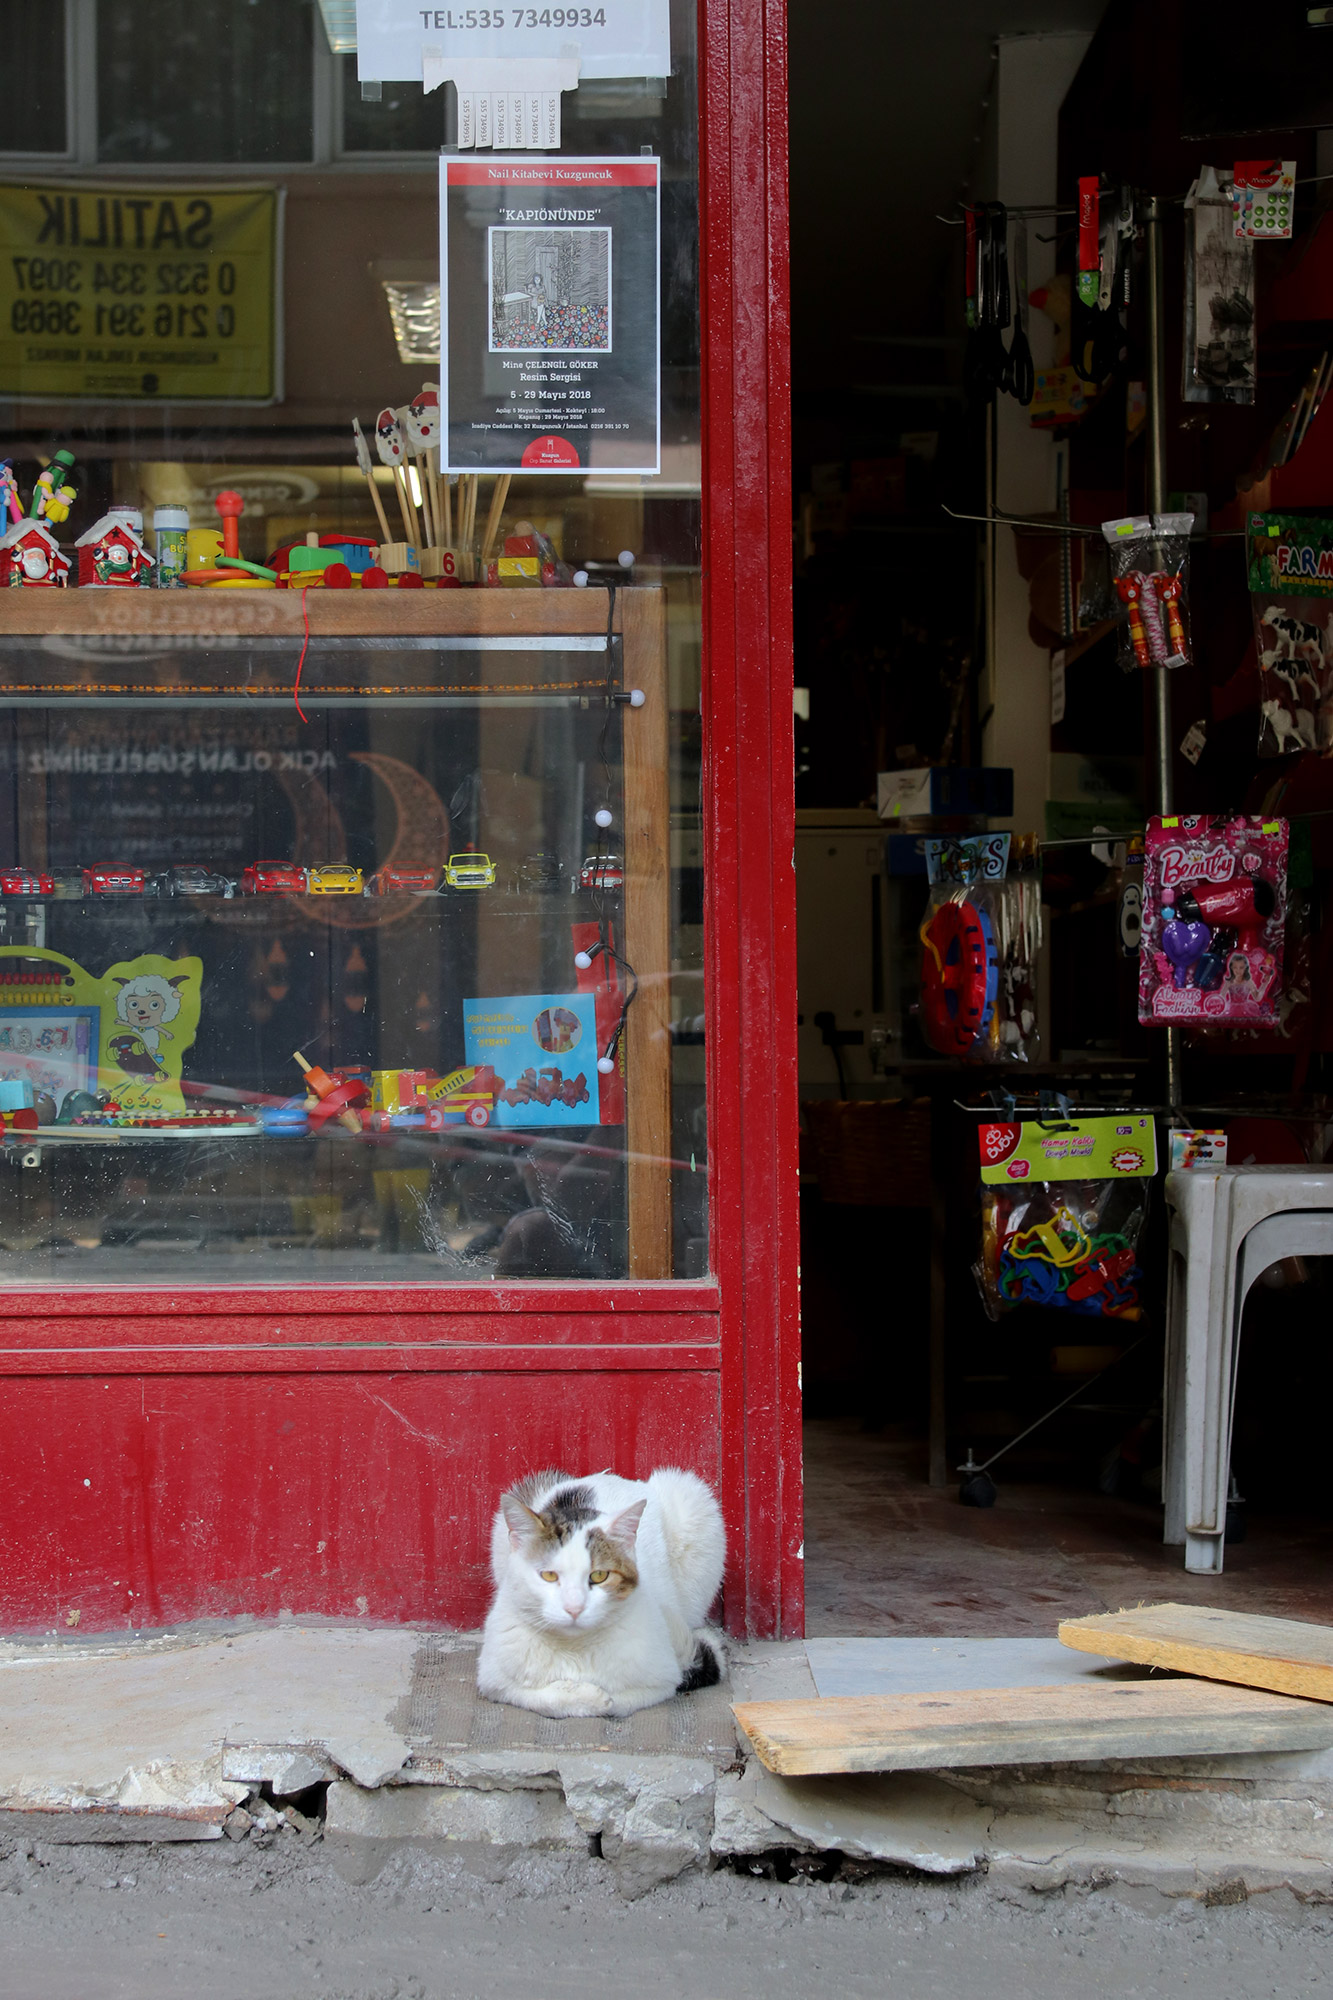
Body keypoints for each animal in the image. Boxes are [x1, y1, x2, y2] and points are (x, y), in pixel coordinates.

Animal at [478, 1472, 728, 1720]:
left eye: (599, 1576)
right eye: (549, 1575)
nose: (574, 1608)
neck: (574, 1648)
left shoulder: (663, 1680)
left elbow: (617, 1702)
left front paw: (597, 1697)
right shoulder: (492, 1681)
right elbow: (541, 1698)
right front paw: (586, 1696)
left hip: (693, 1501)